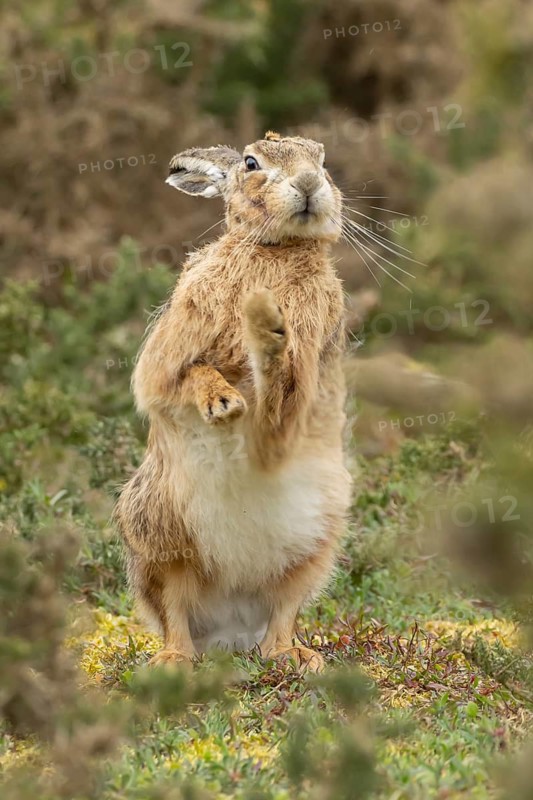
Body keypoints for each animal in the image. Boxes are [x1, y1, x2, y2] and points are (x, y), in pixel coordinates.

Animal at [114, 131, 352, 672]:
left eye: (322, 159)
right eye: (251, 163)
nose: (309, 183)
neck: (278, 249)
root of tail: (231, 625)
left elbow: (284, 397)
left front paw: (268, 332)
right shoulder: (167, 356)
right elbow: (177, 377)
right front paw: (223, 401)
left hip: (316, 547)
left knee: (283, 612)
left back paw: (295, 657)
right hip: (158, 534)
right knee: (174, 609)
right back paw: (173, 661)